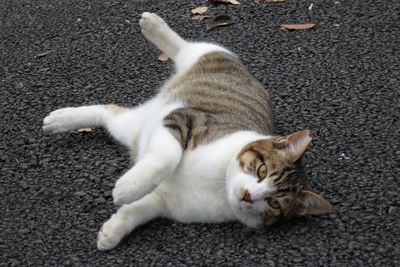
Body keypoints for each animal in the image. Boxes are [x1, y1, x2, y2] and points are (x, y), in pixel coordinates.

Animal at [42, 12, 332, 251]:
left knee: (108, 112)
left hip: (127, 128)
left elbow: (137, 210)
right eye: (262, 171)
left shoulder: (164, 202)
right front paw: (129, 186)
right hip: (208, 54)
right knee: (187, 46)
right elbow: (167, 156)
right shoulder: (185, 119)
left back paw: (61, 120)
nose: (249, 196)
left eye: (274, 203)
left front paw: (112, 231)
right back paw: (153, 25)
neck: (219, 183)